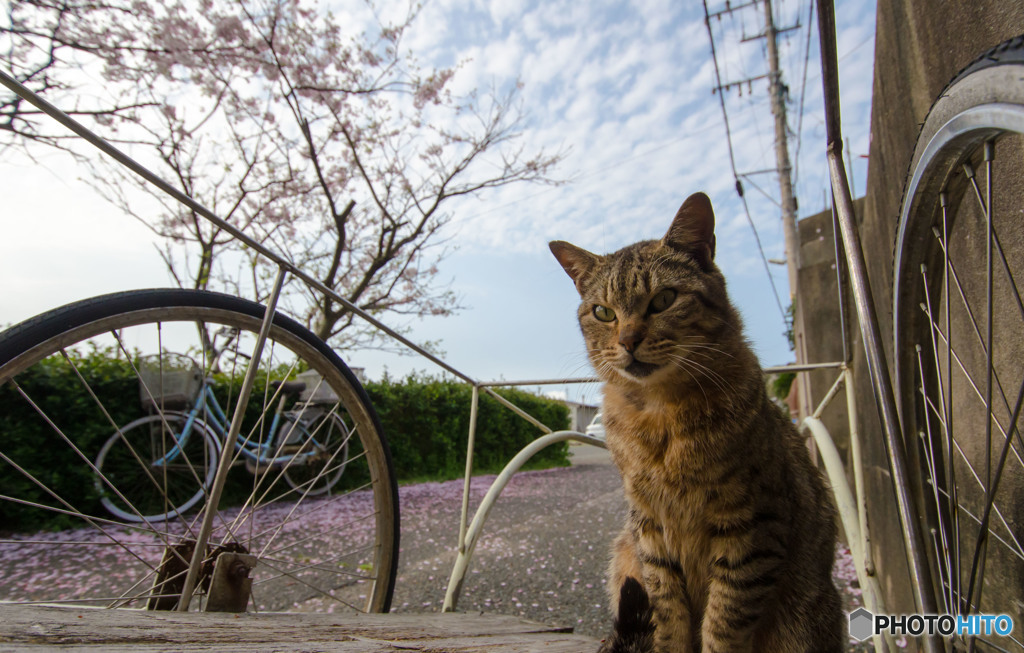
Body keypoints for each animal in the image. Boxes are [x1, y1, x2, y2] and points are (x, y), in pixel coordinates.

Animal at [552, 194, 839, 653]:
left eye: (664, 299)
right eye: (603, 312)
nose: (628, 341)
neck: (661, 416)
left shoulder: (751, 528)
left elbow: (723, 625)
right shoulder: (649, 530)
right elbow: (668, 617)